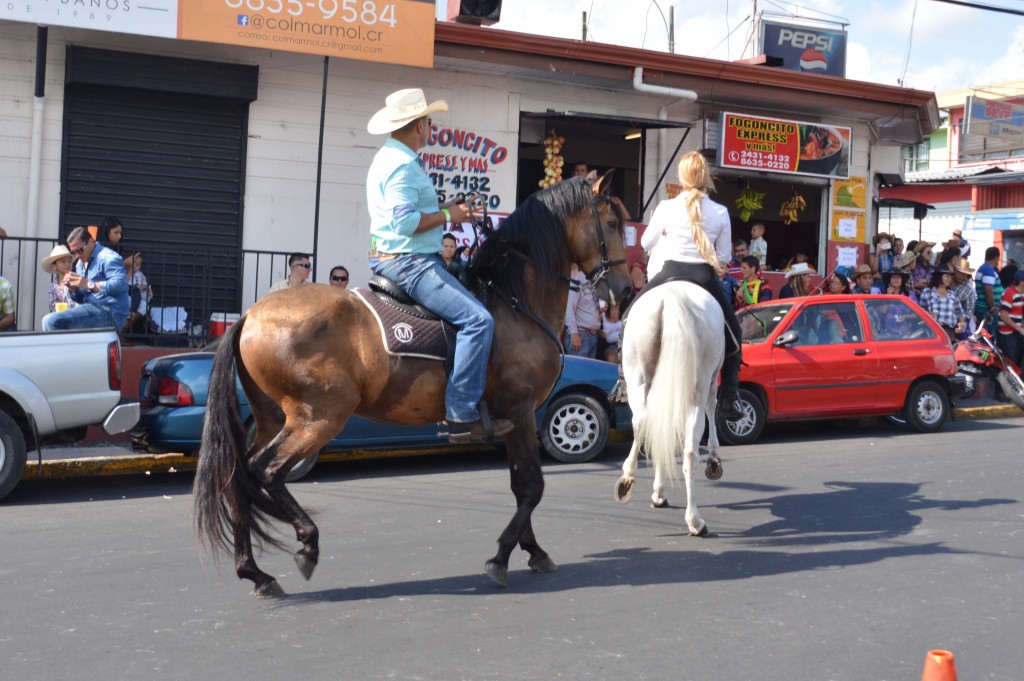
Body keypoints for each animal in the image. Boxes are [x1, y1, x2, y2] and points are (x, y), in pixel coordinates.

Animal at [192, 174, 630, 593]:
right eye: (612, 223)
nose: (625, 289)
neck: (515, 300)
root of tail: (250, 315)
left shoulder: (511, 419)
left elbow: (520, 484)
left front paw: (533, 550)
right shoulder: (521, 412)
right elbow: (532, 487)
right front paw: (502, 557)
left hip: (273, 419)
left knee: (239, 478)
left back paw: (255, 572)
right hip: (319, 417)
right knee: (265, 472)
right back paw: (307, 543)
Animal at [610, 278, 724, 532]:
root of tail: (671, 296)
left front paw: (658, 492)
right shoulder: (713, 379)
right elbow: (713, 406)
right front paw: (713, 458)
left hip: (638, 378)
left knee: (644, 424)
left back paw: (628, 478)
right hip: (697, 387)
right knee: (690, 449)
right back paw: (694, 520)